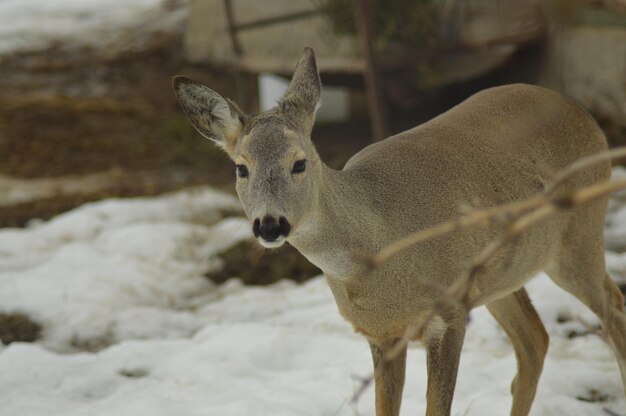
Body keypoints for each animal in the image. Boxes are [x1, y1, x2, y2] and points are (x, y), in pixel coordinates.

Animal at [172, 47, 624, 414]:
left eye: (298, 163)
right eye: (240, 168)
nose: (269, 224)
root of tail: (583, 114)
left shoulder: (448, 313)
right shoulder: (383, 333)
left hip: (579, 236)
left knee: (612, 306)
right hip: (502, 273)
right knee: (535, 341)